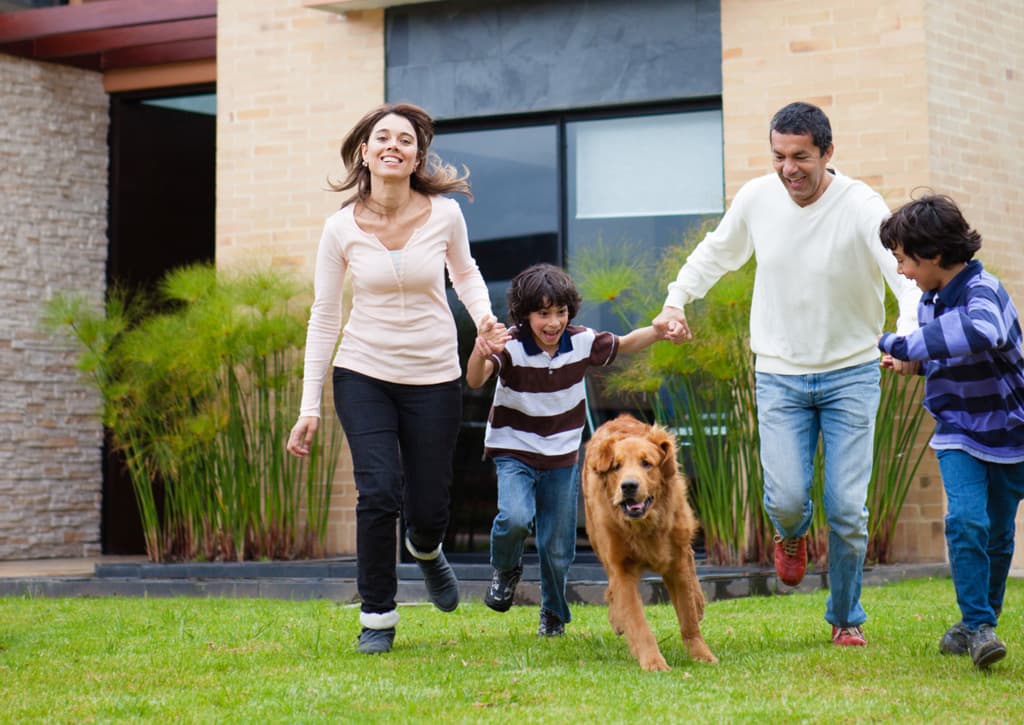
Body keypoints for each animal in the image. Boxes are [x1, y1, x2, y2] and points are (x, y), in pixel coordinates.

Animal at [581, 413, 716, 675]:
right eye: (616, 466)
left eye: (646, 463)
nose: (628, 486)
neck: (644, 526)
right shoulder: (621, 568)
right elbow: (637, 622)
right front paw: (653, 662)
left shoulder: (676, 563)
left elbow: (688, 617)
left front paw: (701, 654)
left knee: (691, 557)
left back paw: (698, 602)